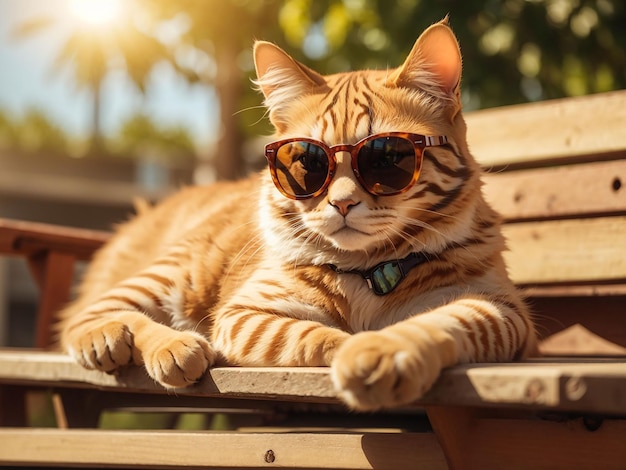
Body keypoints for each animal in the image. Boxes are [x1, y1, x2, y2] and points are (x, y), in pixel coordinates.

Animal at [59, 16, 536, 410]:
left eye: (387, 157)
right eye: (308, 162)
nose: (341, 202)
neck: (368, 272)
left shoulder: (498, 310)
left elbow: (436, 323)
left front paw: (381, 349)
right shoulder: (245, 315)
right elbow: (312, 336)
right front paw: (350, 346)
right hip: (175, 274)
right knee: (89, 315)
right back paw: (159, 343)